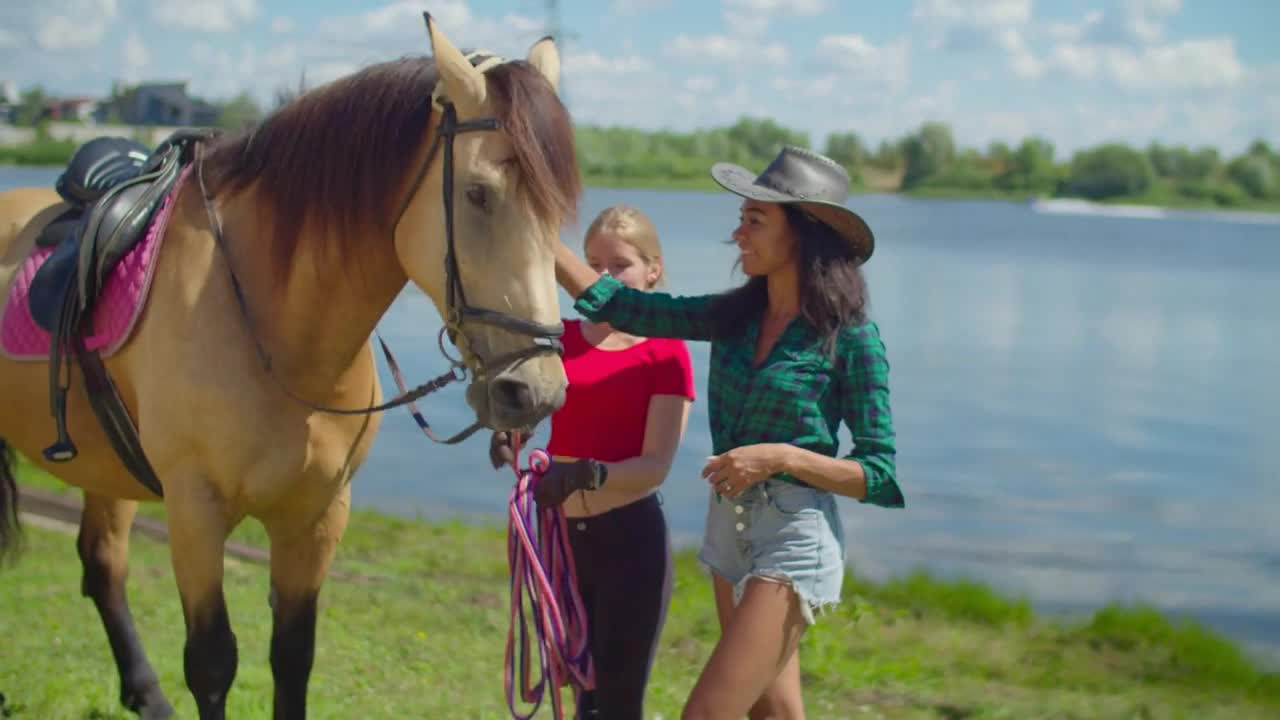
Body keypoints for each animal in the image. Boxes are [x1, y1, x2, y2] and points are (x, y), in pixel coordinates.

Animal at [0, 16, 576, 717]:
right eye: (478, 194)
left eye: (559, 208)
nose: (536, 391)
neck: (275, 328)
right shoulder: (195, 510)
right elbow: (212, 662)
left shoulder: (317, 515)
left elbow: (292, 657)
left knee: (103, 563)